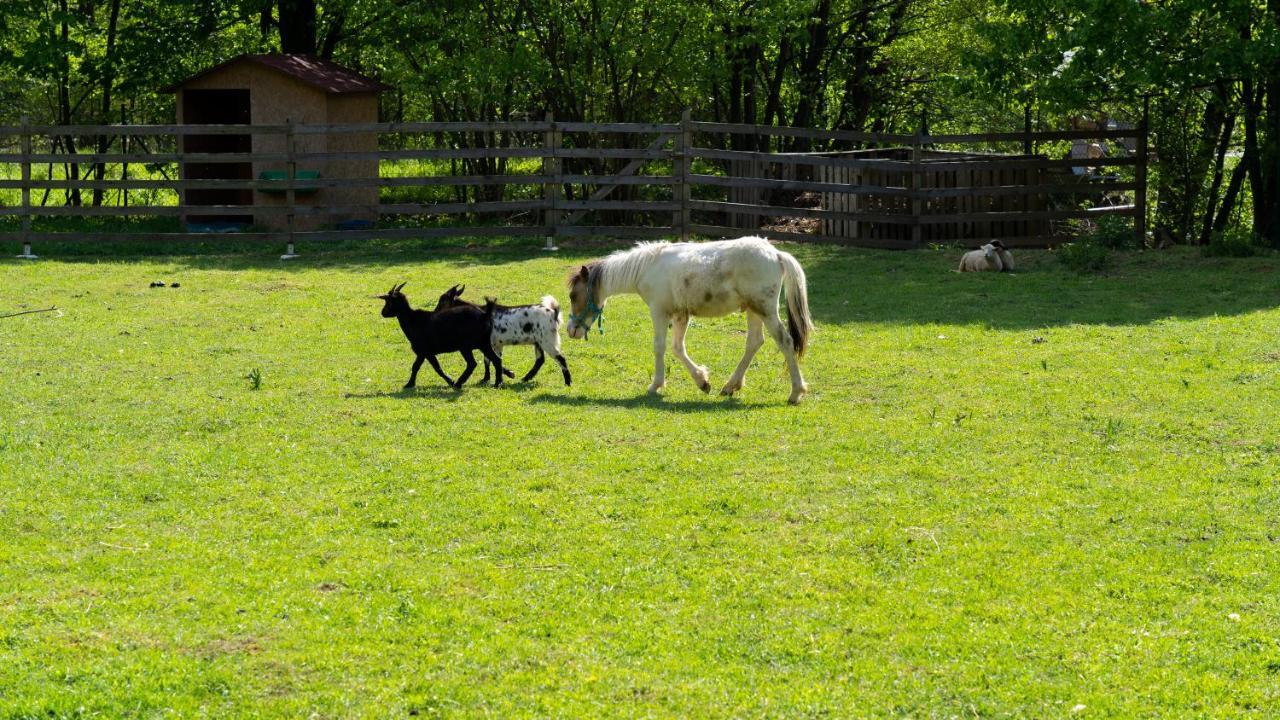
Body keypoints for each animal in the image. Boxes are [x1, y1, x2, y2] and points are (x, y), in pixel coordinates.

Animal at [373, 281, 504, 389]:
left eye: (388, 301)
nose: (383, 313)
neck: (413, 320)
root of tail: (485, 315)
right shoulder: (425, 353)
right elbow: (424, 367)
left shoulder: (424, 351)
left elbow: (426, 367)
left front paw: (410, 384)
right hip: (484, 343)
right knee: (496, 360)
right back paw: (498, 383)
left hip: (466, 346)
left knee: (472, 363)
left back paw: (458, 383)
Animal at [435, 284, 570, 386]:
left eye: (442, 301)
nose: (435, 313)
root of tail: (553, 313)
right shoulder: (496, 344)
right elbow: (489, 360)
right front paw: (487, 378)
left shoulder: (489, 344)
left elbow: (492, 360)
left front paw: (504, 376)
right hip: (538, 341)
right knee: (540, 360)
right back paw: (526, 378)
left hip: (547, 339)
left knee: (560, 358)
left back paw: (567, 382)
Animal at [568, 235, 814, 404]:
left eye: (573, 295)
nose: (571, 330)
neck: (647, 267)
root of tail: (776, 254)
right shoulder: (680, 315)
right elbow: (677, 348)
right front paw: (702, 381)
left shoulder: (659, 312)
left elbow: (660, 347)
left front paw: (655, 385)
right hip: (754, 311)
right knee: (754, 342)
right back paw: (730, 386)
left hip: (766, 310)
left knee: (785, 341)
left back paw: (796, 392)